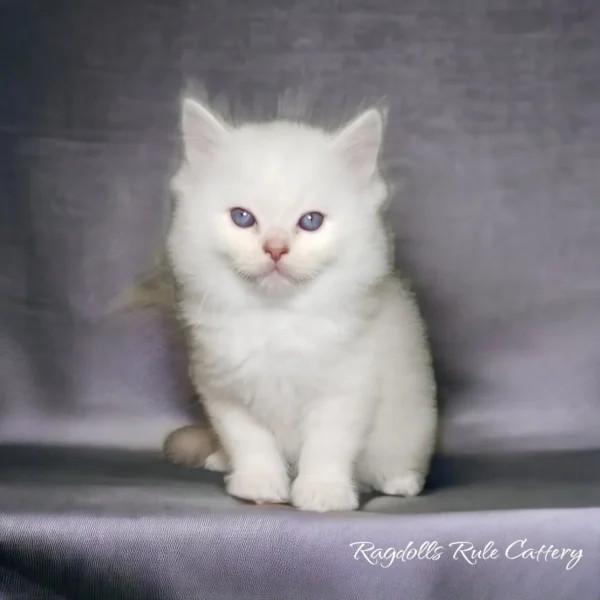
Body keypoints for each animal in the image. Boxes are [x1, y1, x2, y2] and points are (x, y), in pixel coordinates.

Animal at [166, 96, 438, 512]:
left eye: (311, 221)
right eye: (242, 218)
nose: (276, 249)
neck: (276, 320)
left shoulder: (346, 389)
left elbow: (326, 446)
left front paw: (322, 492)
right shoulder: (226, 392)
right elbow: (251, 442)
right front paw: (259, 485)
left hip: (412, 421)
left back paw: (400, 481)